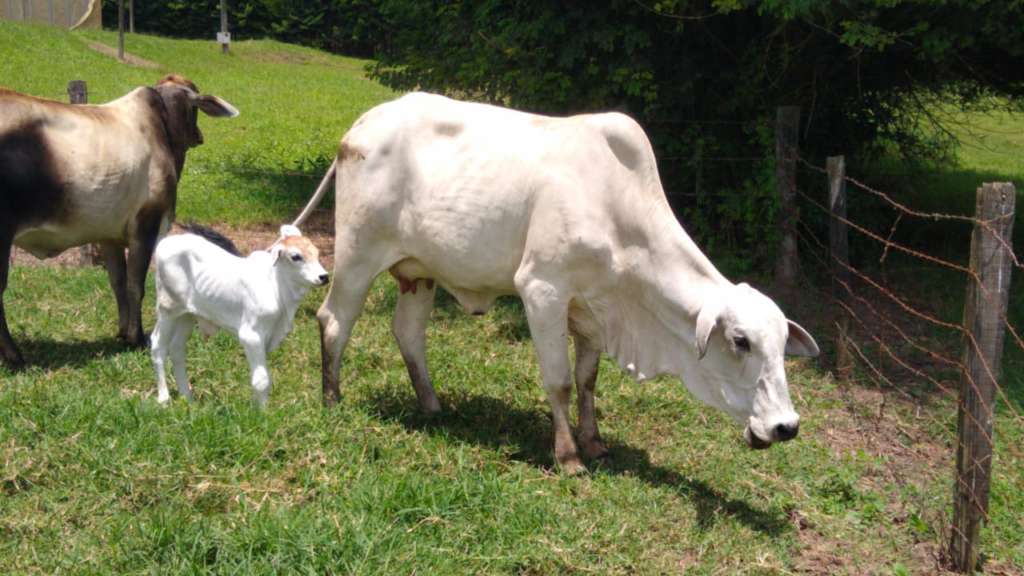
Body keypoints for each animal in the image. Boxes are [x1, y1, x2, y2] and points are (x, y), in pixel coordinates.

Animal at [0, 75, 237, 366]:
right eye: (195, 107)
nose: (198, 135)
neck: (161, 125)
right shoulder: (146, 225)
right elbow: (136, 285)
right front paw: (137, 337)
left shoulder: (108, 236)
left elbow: (118, 284)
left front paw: (123, 332)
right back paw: (14, 356)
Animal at [149, 222, 327, 405]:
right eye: (296, 257)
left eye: (317, 253)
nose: (324, 277)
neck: (277, 285)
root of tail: (165, 242)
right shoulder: (251, 335)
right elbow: (262, 380)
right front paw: (262, 411)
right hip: (167, 309)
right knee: (158, 345)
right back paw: (164, 398)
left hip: (187, 315)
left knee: (177, 348)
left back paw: (188, 398)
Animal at [292, 93, 819, 471]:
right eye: (740, 340)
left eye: (782, 345)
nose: (786, 426)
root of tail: (361, 124)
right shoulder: (542, 290)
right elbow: (560, 381)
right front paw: (568, 456)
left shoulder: (594, 309)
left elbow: (587, 381)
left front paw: (595, 443)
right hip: (359, 253)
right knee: (334, 320)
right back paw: (332, 400)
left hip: (418, 272)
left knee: (408, 333)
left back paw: (432, 406)